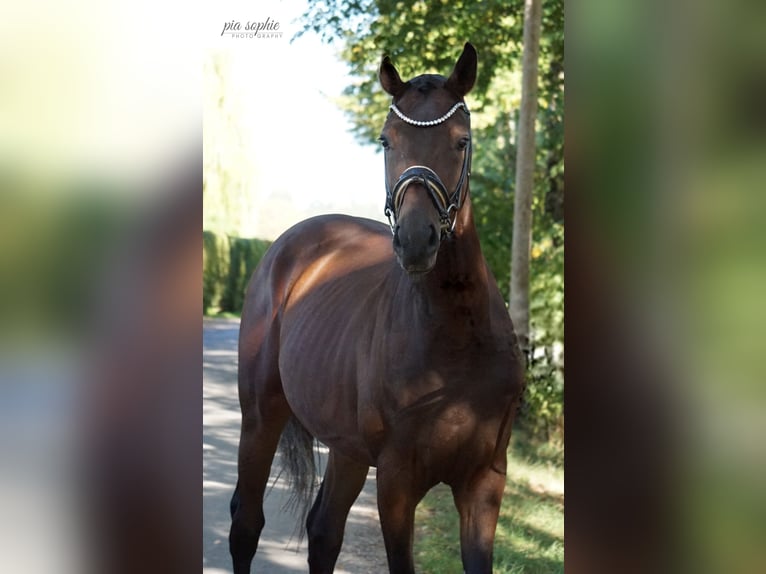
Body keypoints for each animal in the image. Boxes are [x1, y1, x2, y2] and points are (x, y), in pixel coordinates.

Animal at [229, 42, 525, 573]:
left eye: (462, 141)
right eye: (387, 141)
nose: (416, 241)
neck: (457, 338)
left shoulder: (485, 480)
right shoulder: (396, 481)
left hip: (346, 450)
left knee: (324, 531)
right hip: (261, 416)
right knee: (246, 523)